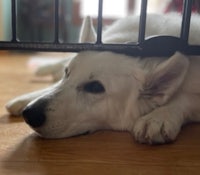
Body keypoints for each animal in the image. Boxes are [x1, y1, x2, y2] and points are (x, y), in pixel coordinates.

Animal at [5, 13, 200, 144]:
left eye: (95, 88)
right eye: (68, 73)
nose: (29, 113)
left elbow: (185, 99)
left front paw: (159, 116)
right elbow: (56, 83)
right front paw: (28, 96)